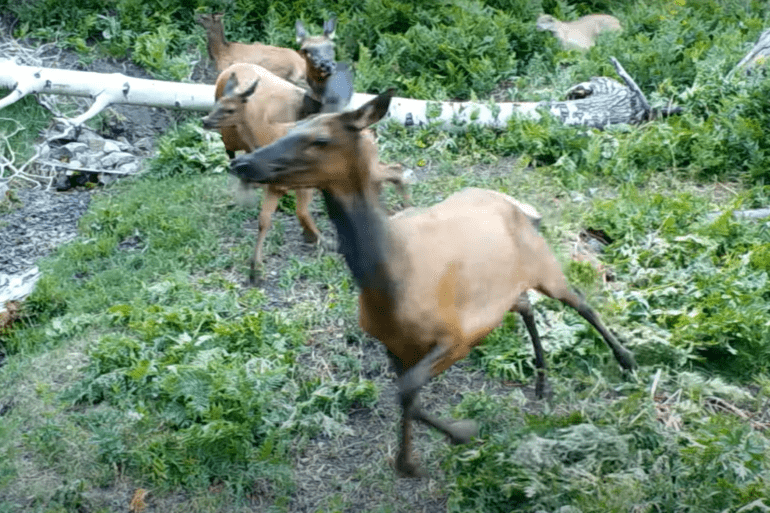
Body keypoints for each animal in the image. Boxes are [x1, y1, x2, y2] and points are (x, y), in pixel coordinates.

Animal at [203, 65, 408, 284]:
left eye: (230, 109)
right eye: (217, 103)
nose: (205, 120)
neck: (266, 135)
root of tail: (368, 133)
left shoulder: (304, 183)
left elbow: (301, 212)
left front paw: (322, 240)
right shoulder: (275, 186)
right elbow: (264, 221)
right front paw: (255, 270)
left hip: (367, 168)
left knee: (395, 170)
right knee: (394, 170)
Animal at [229, 91, 637, 477]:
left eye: (319, 139)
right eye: (292, 127)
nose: (241, 163)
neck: (391, 285)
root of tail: (518, 206)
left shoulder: (457, 337)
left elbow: (407, 391)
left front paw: (450, 438)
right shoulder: (394, 344)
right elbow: (407, 394)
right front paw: (420, 455)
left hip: (543, 263)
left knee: (581, 301)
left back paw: (626, 360)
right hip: (503, 289)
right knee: (526, 306)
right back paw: (541, 382)